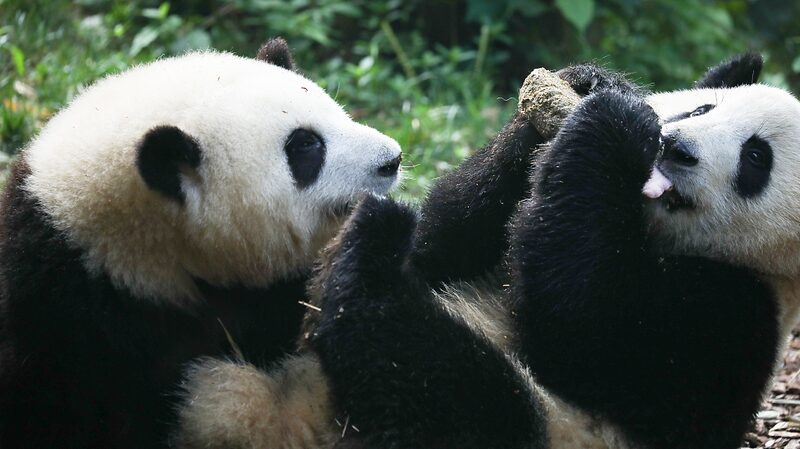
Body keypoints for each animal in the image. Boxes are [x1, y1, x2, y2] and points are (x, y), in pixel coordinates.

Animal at [175, 54, 788, 449]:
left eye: (757, 158)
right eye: (703, 108)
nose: (675, 148)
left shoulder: (734, 315)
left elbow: (589, 329)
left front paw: (610, 127)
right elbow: (443, 246)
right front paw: (583, 90)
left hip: (540, 424)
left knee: (444, 382)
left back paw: (363, 259)